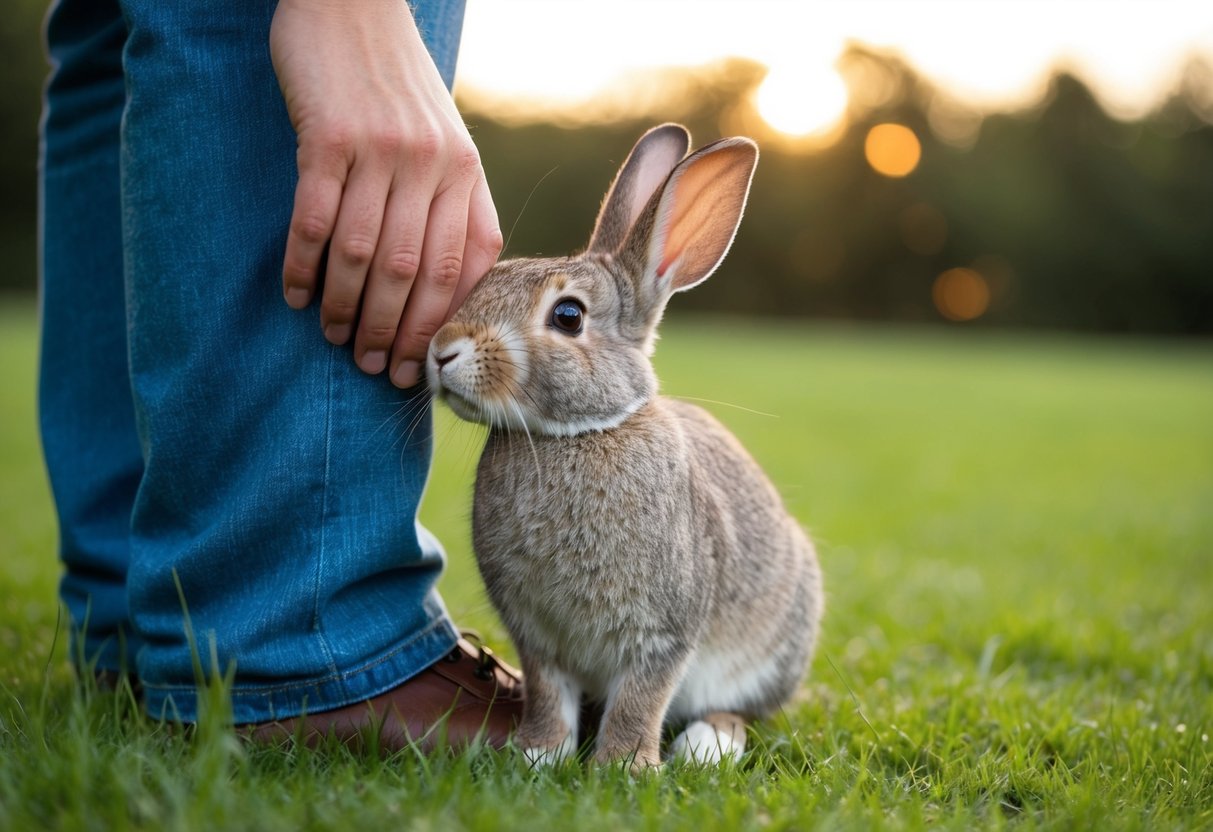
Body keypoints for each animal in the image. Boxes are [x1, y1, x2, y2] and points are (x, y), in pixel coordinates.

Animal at [426, 124, 822, 768]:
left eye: (567, 315)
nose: (442, 352)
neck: (581, 433)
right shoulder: (538, 639)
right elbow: (547, 694)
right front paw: (540, 755)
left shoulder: (663, 632)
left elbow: (641, 697)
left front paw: (624, 766)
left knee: (737, 709)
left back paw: (706, 745)